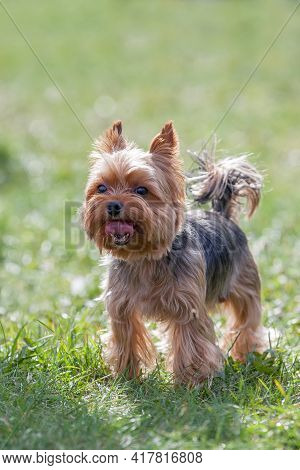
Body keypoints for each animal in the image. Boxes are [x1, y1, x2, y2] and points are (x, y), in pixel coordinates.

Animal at [81, 121, 264, 386]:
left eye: (141, 190)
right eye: (101, 187)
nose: (113, 205)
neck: (144, 258)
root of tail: (222, 215)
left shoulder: (188, 308)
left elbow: (192, 345)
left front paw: (192, 382)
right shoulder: (121, 307)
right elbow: (126, 339)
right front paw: (127, 377)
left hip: (245, 283)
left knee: (246, 319)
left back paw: (244, 354)